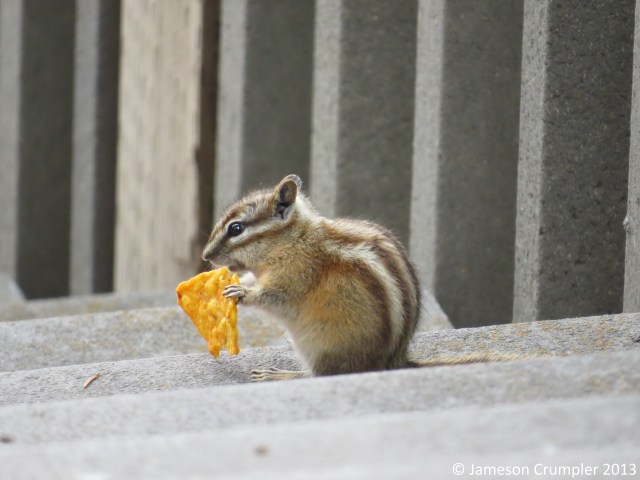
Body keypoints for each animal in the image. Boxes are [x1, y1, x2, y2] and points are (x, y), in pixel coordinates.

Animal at [202, 174, 525, 381]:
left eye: (236, 229)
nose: (205, 256)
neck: (294, 240)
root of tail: (390, 363)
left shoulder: (297, 274)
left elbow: (275, 295)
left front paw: (241, 293)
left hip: (323, 346)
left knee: (320, 375)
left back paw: (281, 375)